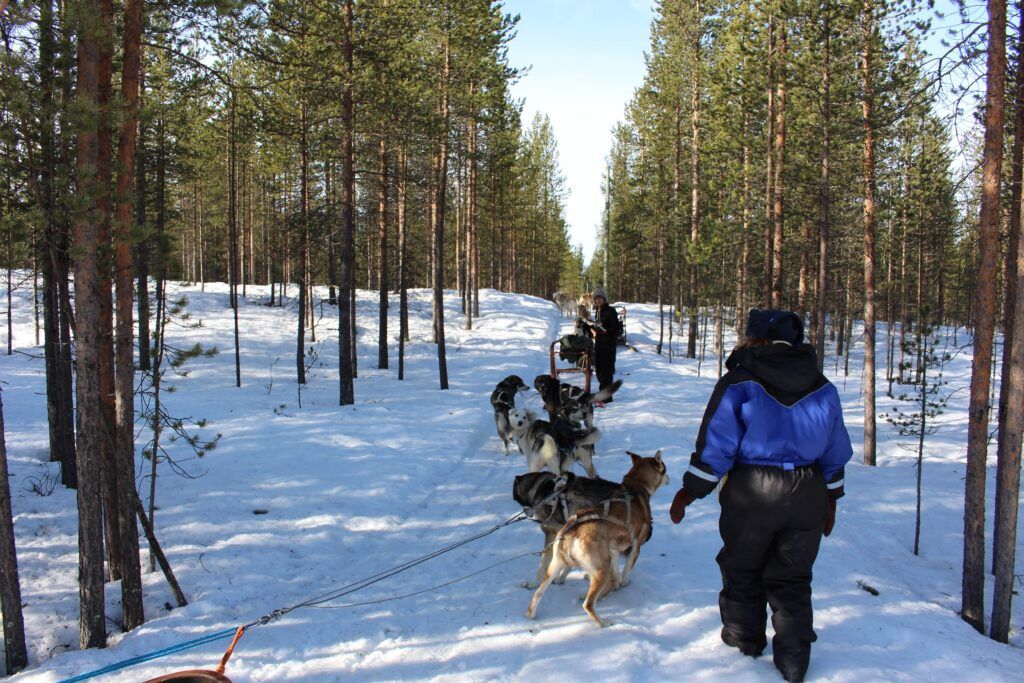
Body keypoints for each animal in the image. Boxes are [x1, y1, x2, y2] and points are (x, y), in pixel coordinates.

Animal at [525, 450, 669, 628]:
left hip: (555, 567)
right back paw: (603, 622)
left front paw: (614, 583)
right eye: (665, 469)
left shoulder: (614, 549)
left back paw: (531, 612)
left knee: (538, 593)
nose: (669, 478)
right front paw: (624, 582)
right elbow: (626, 572)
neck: (635, 487)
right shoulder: (636, 547)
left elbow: (616, 576)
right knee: (588, 604)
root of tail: (573, 531)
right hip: (601, 571)